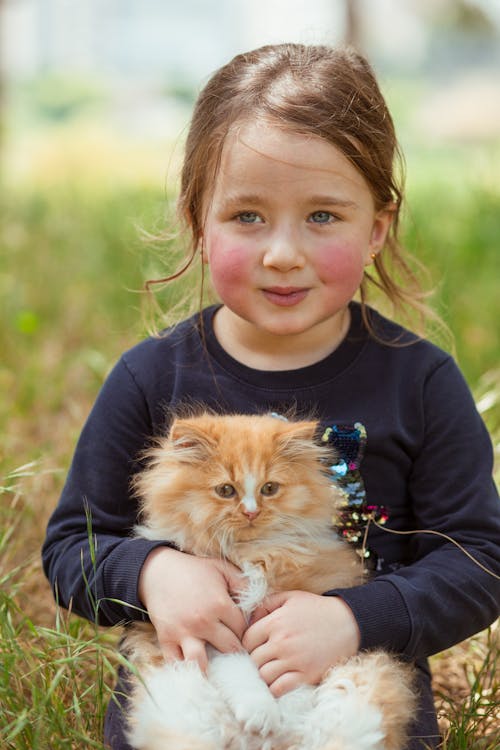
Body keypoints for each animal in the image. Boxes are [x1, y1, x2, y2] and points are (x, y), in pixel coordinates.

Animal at [122, 414, 414, 750]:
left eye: (270, 488)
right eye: (226, 490)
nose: (251, 512)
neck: (255, 555)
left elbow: (292, 680)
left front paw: (287, 712)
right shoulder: (210, 631)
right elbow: (242, 669)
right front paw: (262, 713)